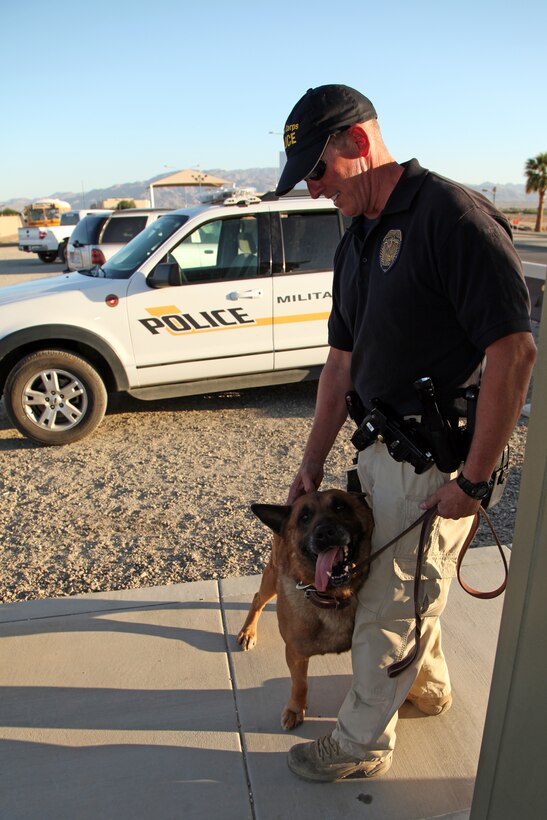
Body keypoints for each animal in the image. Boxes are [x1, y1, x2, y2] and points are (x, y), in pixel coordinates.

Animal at [238, 490, 374, 728]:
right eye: (304, 517)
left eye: (340, 507)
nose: (325, 533)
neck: (332, 597)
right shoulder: (295, 653)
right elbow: (300, 684)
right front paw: (295, 709)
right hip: (271, 577)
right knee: (257, 599)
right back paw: (248, 632)